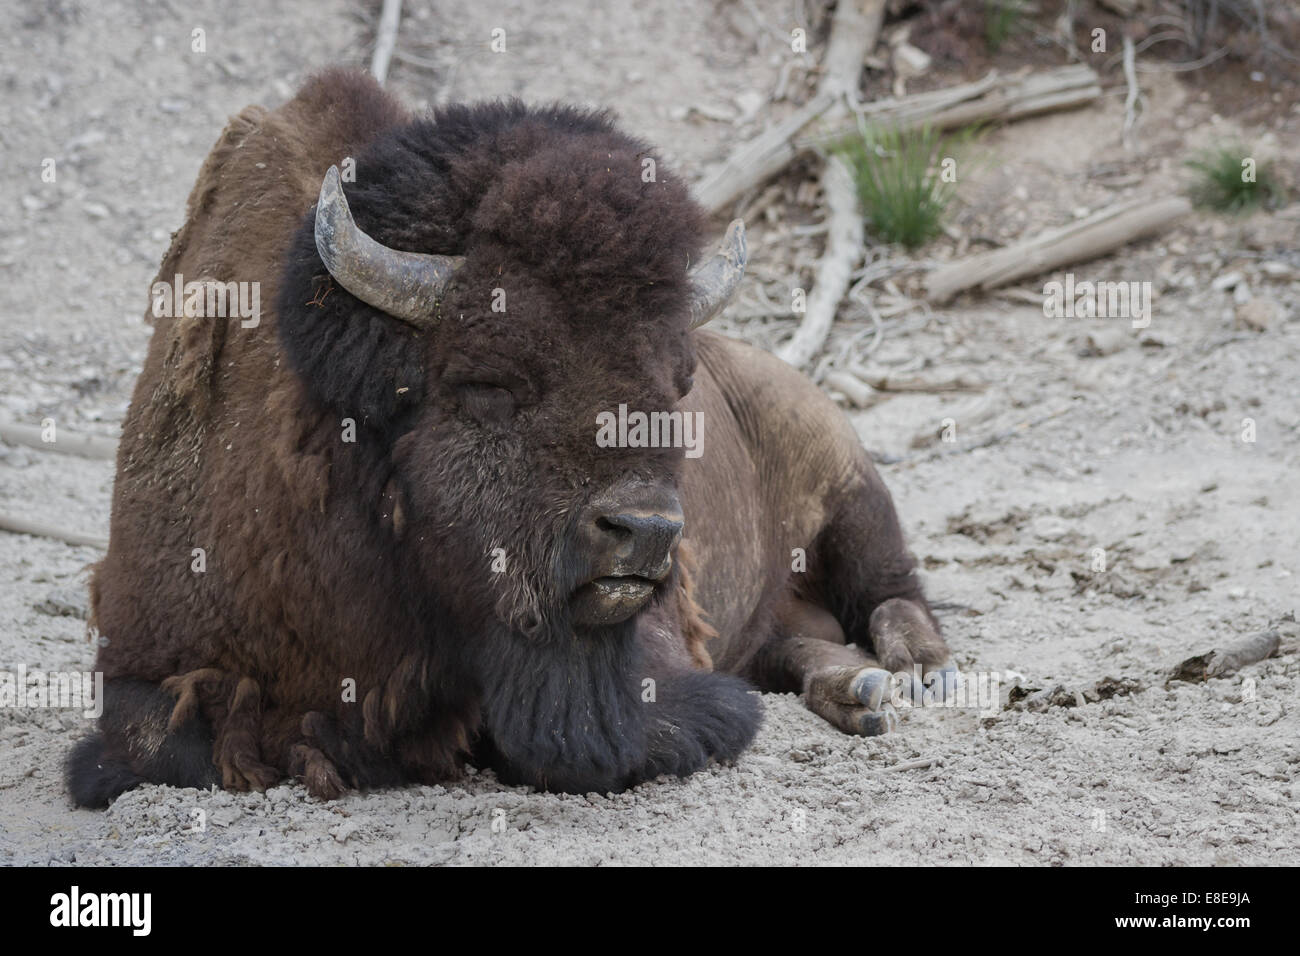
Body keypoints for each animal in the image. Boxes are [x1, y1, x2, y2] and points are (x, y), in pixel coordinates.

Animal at [68, 69, 956, 806]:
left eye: (675, 387)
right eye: (490, 383)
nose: (645, 532)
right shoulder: (142, 657)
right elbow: (157, 738)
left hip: (850, 486)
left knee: (890, 585)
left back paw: (915, 672)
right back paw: (858, 691)